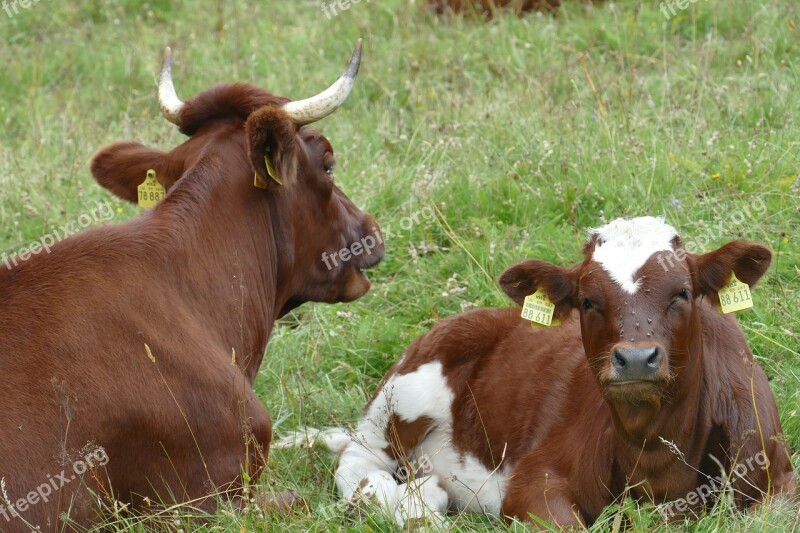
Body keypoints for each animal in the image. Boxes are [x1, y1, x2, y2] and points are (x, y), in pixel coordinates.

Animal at [326, 215, 792, 524]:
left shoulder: (779, 480)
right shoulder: (534, 480)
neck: (656, 463)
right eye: (587, 301)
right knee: (358, 468)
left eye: (682, 293)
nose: (636, 358)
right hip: (402, 398)